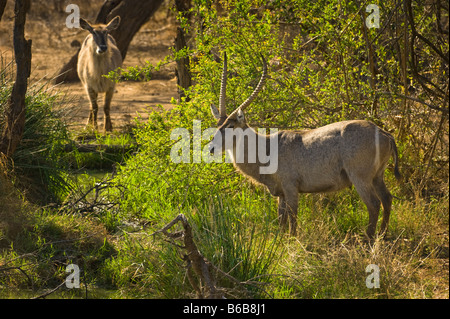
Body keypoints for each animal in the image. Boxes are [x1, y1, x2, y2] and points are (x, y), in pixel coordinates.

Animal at [208, 54, 400, 240]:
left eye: (231, 125)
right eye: (218, 124)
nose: (211, 148)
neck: (268, 147)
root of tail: (384, 133)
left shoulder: (291, 188)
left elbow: (293, 219)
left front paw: (293, 242)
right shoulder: (282, 194)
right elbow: (281, 220)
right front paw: (280, 242)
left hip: (360, 177)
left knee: (374, 204)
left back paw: (368, 238)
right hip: (377, 177)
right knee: (387, 199)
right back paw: (382, 235)